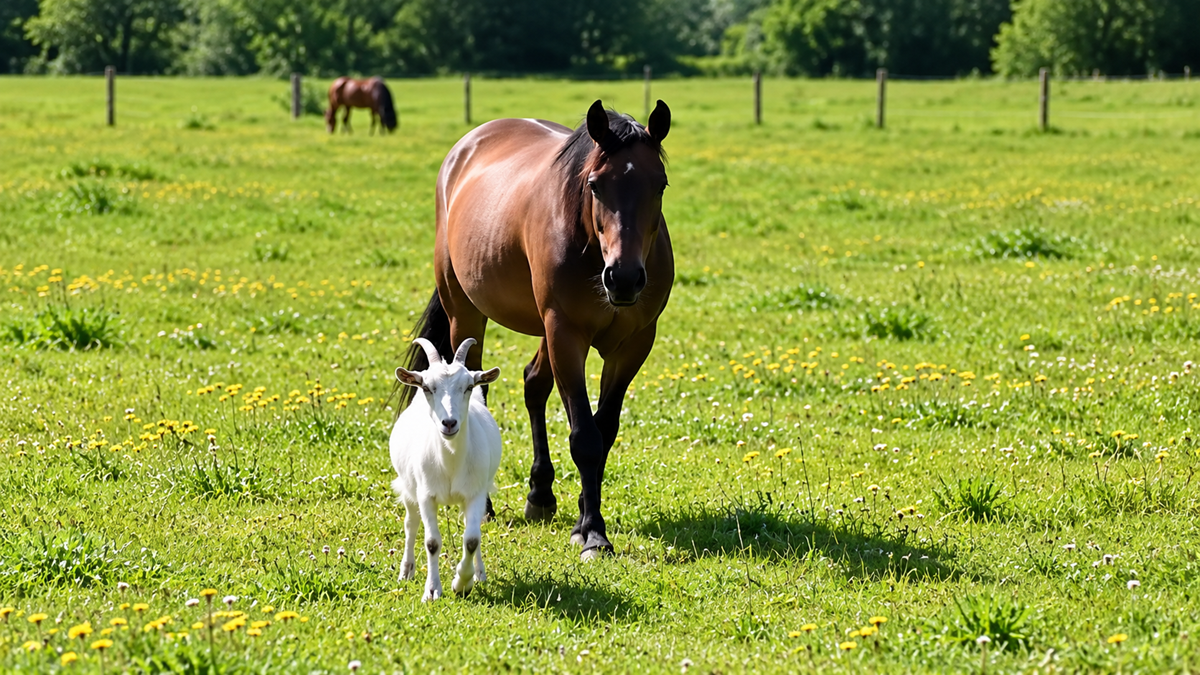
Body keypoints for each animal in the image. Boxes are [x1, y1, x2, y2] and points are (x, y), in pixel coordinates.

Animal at [390, 337, 501, 601]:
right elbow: (431, 542)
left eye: (468, 386)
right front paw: (432, 590)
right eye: (428, 388)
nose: (449, 423)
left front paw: (462, 583)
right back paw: (406, 570)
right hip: (408, 488)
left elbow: (471, 540)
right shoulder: (425, 494)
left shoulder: (475, 493)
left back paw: (479, 573)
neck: (450, 462)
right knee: (411, 524)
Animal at [400, 100, 673, 560]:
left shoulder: (633, 344)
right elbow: (585, 436)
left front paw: (583, 514)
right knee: (477, 387)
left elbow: (605, 430)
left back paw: (540, 494)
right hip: (465, 311)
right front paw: (593, 533)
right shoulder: (566, 333)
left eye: (660, 186)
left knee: (534, 384)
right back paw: (487, 503)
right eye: (596, 186)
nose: (623, 278)